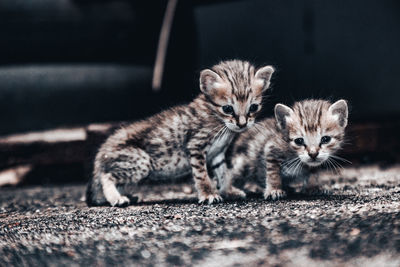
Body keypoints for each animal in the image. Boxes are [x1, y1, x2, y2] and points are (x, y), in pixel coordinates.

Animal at [86, 60, 276, 207]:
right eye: (228, 109)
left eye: (253, 107)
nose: (242, 124)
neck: (220, 122)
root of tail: (103, 148)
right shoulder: (196, 146)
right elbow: (202, 175)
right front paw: (208, 194)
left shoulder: (217, 154)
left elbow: (224, 173)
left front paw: (228, 190)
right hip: (141, 161)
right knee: (106, 175)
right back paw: (116, 198)